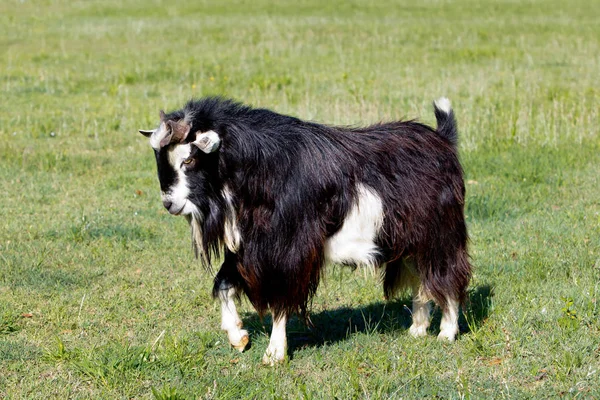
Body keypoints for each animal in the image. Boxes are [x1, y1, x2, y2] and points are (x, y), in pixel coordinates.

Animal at [138, 97, 472, 366]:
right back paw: (417, 329)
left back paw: (446, 332)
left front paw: (274, 354)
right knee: (422, 279)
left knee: (448, 276)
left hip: (440, 235)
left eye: (189, 159)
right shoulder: (249, 250)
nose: (169, 203)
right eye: (159, 159)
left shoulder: (288, 253)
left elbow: (281, 301)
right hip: (412, 242)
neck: (262, 171)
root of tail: (443, 140)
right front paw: (238, 337)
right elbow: (223, 285)